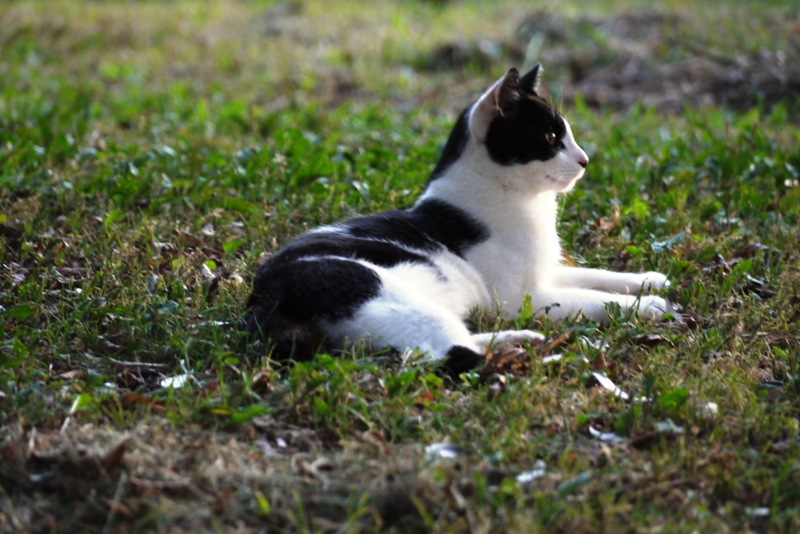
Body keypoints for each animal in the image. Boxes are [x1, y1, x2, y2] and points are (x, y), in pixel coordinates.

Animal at [247, 65, 672, 374]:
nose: (585, 160)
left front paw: (649, 281)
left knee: (462, 342)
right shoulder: (524, 297)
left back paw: (522, 341)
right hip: (393, 297)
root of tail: (261, 301)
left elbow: (597, 276)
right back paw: (545, 358)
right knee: (454, 358)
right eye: (552, 137)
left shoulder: (547, 274)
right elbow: (595, 299)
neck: (527, 203)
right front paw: (650, 306)